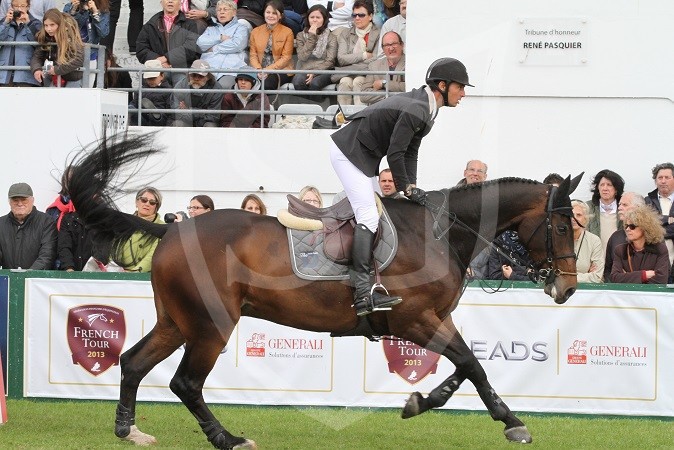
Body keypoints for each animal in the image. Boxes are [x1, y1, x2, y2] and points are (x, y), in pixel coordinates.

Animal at [65, 134, 580, 450]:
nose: (568, 288)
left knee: (133, 362)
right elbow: (471, 364)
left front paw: (425, 401)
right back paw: (229, 439)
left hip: (177, 320)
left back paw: (129, 431)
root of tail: (172, 229)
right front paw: (512, 423)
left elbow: (466, 366)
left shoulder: (436, 318)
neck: (440, 233)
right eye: (559, 226)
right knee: (185, 383)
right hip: (211, 324)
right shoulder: (414, 318)